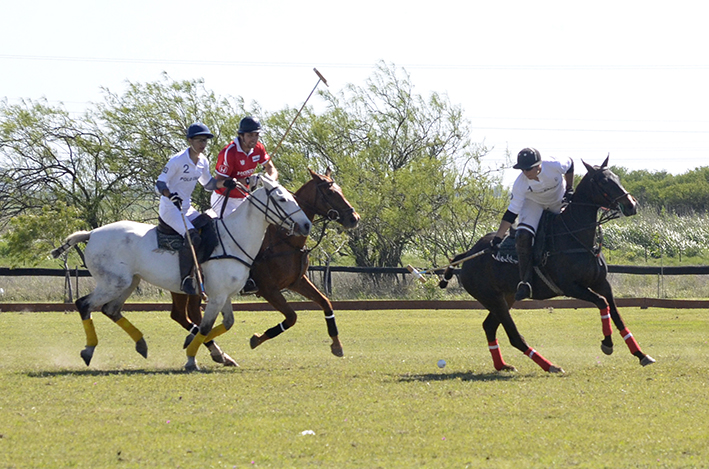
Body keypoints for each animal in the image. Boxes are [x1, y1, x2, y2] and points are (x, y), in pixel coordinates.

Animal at [51, 175, 312, 370]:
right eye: (281, 199)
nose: (306, 224)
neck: (235, 238)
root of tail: (91, 233)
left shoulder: (224, 295)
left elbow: (226, 323)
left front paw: (203, 348)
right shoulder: (217, 296)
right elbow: (205, 327)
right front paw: (191, 359)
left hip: (129, 281)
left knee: (111, 309)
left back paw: (141, 344)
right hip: (113, 282)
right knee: (84, 304)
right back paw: (88, 350)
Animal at [171, 166, 360, 360]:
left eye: (340, 189)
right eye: (330, 192)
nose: (354, 218)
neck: (284, 240)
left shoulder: (297, 281)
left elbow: (325, 303)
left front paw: (337, 345)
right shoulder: (268, 288)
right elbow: (291, 317)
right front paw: (257, 339)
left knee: (187, 314)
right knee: (181, 315)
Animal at [440, 157, 656, 372]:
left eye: (616, 177)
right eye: (603, 181)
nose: (631, 205)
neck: (576, 237)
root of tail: (468, 254)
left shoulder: (602, 283)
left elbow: (617, 315)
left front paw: (641, 354)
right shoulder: (570, 287)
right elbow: (602, 303)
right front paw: (607, 344)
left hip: (505, 297)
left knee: (489, 326)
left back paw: (502, 365)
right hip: (492, 298)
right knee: (514, 336)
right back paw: (550, 366)